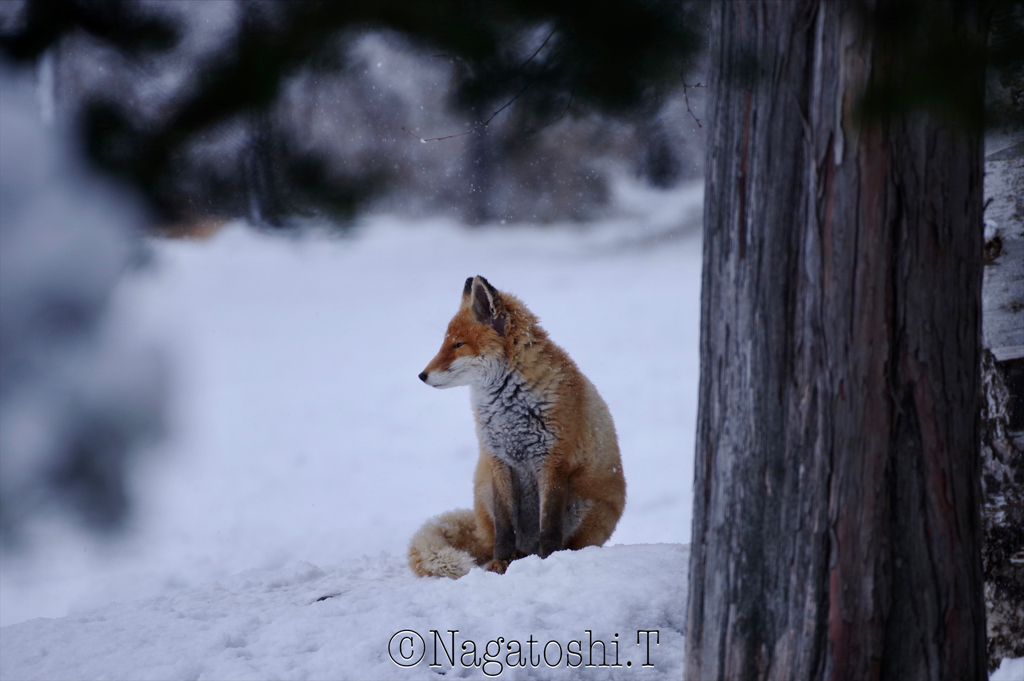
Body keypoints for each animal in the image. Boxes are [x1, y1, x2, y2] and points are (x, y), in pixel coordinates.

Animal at [407, 274, 622, 577]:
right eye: (444, 343)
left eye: (458, 345)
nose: (421, 375)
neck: (508, 408)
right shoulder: (498, 459)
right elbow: (505, 525)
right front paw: (500, 562)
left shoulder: (552, 460)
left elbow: (549, 526)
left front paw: (547, 561)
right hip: (484, 489)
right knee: (498, 539)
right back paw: (513, 558)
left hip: (586, 505)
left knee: (567, 542)